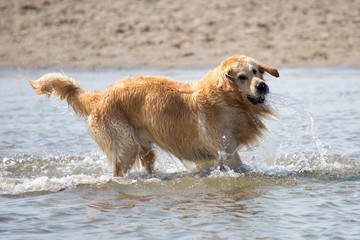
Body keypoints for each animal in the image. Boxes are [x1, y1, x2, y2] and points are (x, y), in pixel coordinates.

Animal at [29, 55, 280, 176]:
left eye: (256, 72)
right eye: (241, 77)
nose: (262, 86)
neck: (226, 100)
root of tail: (100, 96)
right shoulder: (226, 150)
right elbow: (239, 167)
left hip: (144, 148)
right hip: (125, 147)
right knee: (117, 173)